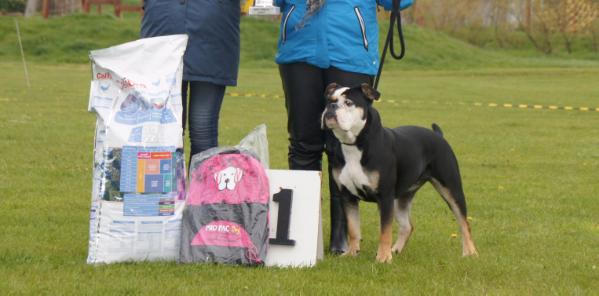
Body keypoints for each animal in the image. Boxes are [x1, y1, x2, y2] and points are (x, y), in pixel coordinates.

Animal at [322, 82, 480, 262]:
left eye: (349, 103)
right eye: (328, 100)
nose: (331, 107)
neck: (355, 144)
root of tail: (438, 136)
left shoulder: (384, 197)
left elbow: (385, 230)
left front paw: (383, 258)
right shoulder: (348, 196)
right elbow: (353, 228)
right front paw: (351, 253)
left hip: (451, 189)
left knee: (464, 222)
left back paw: (470, 252)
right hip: (400, 198)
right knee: (407, 226)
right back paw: (395, 249)